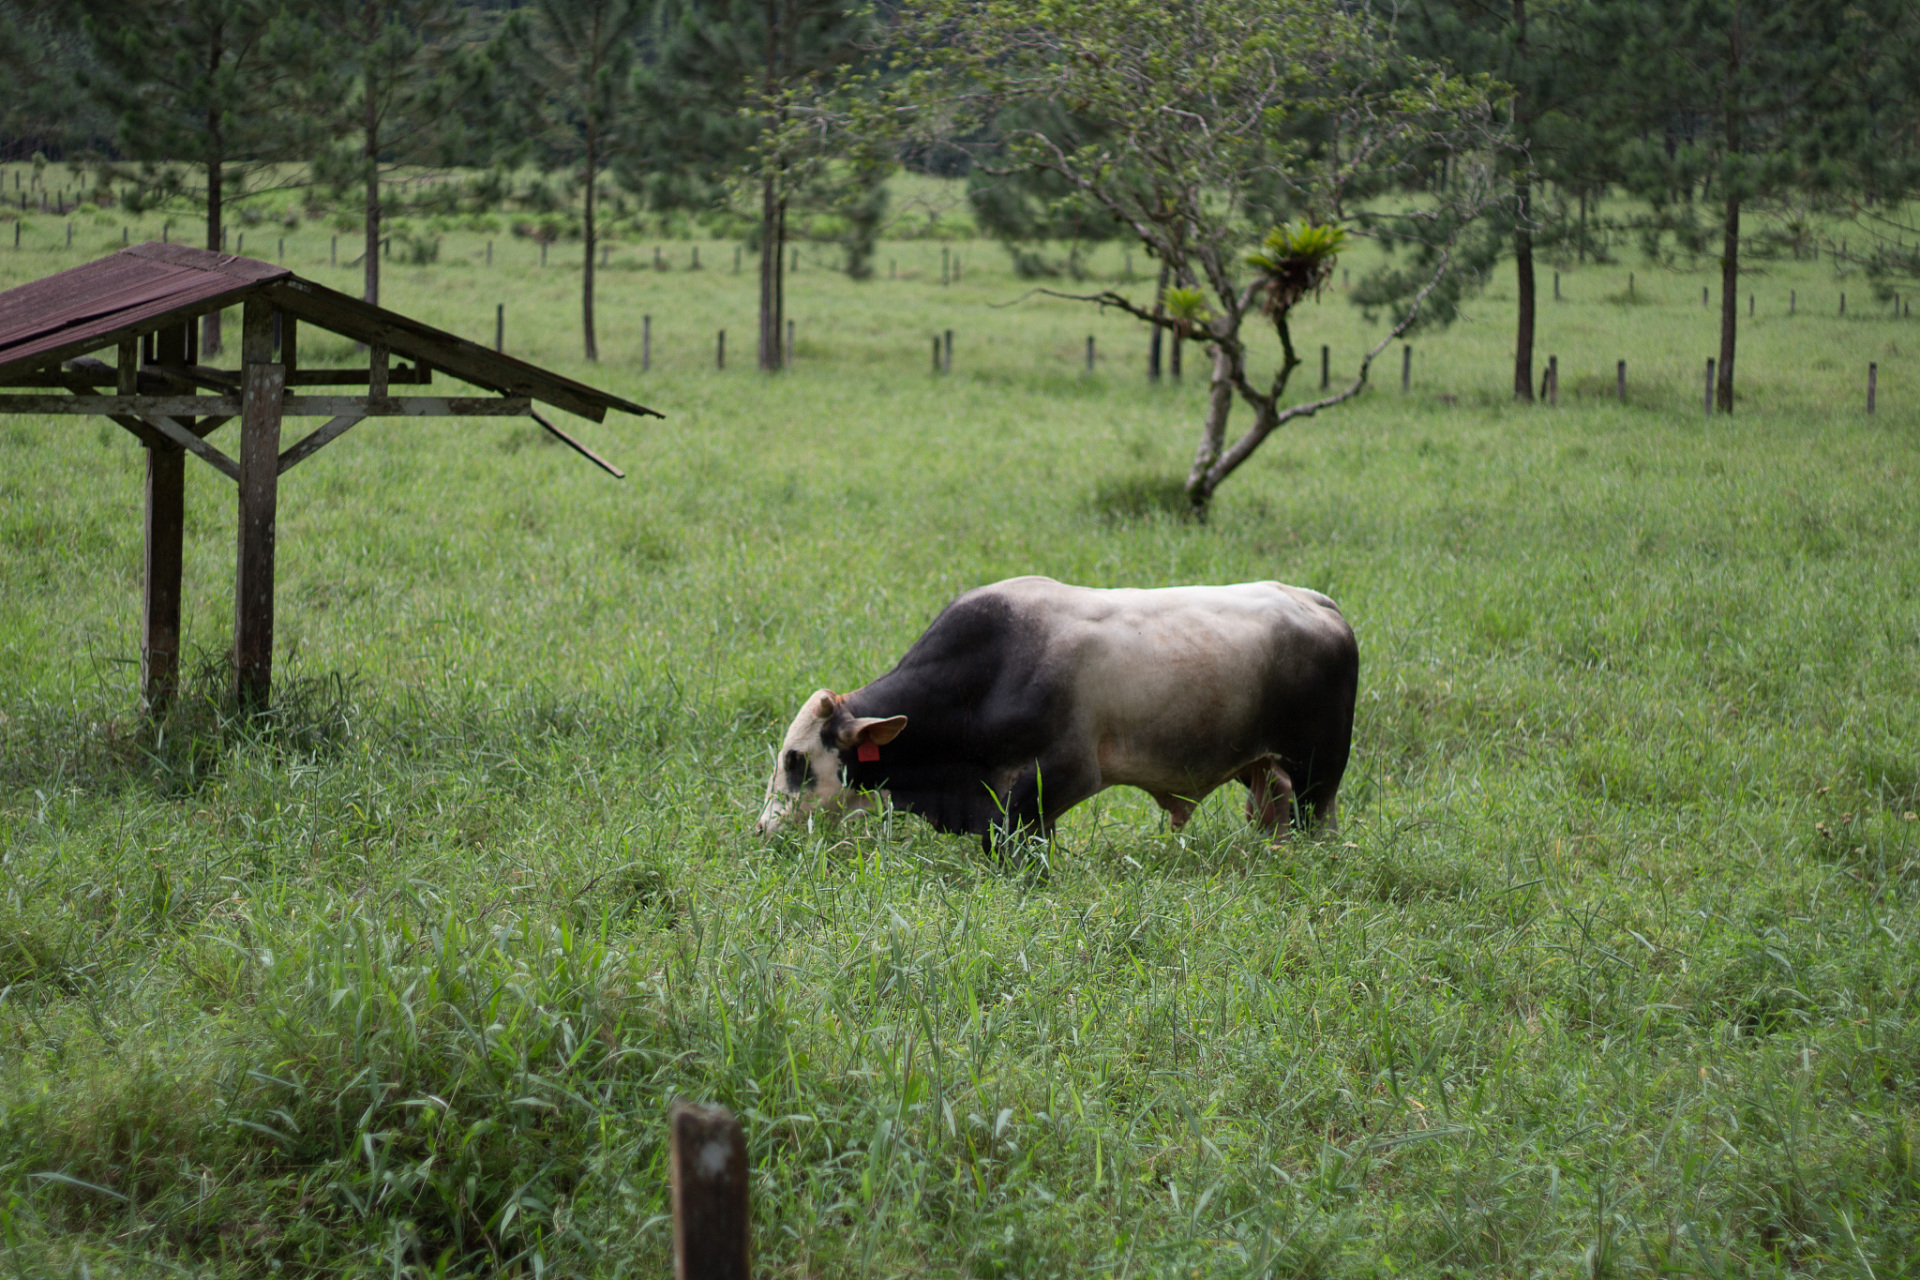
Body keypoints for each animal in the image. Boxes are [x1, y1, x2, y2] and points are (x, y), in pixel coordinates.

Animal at [756, 579, 1359, 852]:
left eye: (795, 760)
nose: (763, 829)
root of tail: (1321, 603)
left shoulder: (1065, 773)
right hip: (1268, 775)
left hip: (1318, 779)